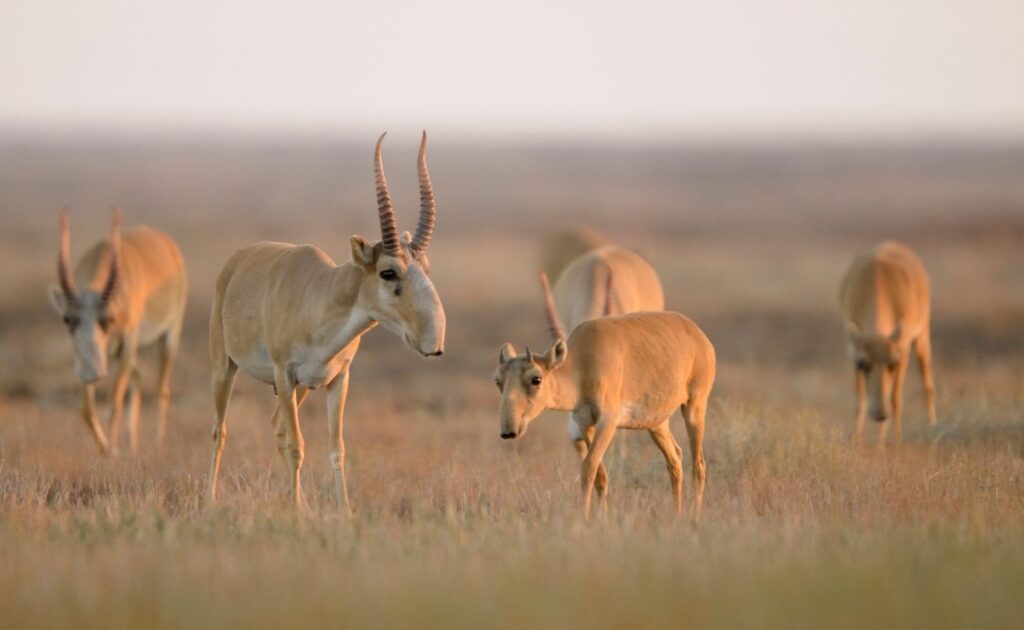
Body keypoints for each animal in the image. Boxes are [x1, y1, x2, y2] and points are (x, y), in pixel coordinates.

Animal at [48, 210, 188, 456]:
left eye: (109, 319)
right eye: (67, 319)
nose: (93, 374)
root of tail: (167, 243)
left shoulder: (127, 345)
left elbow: (115, 403)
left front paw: (113, 452)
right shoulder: (82, 358)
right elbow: (86, 409)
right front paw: (106, 450)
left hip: (169, 335)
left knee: (162, 388)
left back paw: (158, 443)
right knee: (140, 373)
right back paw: (133, 444)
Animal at [206, 130, 444, 510]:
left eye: (426, 268)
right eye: (388, 272)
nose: (433, 342)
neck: (319, 296)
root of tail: (237, 260)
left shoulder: (337, 381)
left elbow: (336, 449)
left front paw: (341, 511)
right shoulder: (284, 375)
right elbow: (297, 446)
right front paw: (297, 513)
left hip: (301, 388)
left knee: (276, 425)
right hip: (225, 368)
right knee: (220, 430)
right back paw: (210, 498)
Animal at [493, 278, 716, 520]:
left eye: (536, 379)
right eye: (498, 381)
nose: (509, 431)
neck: (581, 363)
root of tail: (698, 334)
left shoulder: (608, 421)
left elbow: (589, 466)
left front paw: (584, 517)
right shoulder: (584, 423)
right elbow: (600, 474)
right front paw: (602, 517)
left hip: (694, 406)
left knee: (699, 465)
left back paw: (694, 515)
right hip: (656, 423)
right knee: (675, 459)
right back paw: (677, 513)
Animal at [839, 240, 937, 444]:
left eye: (894, 363)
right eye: (862, 364)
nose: (880, 414)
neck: (878, 282)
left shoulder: (903, 350)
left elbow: (895, 398)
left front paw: (895, 440)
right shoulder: (853, 350)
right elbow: (859, 400)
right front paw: (857, 440)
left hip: (923, 334)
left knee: (927, 382)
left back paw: (932, 425)